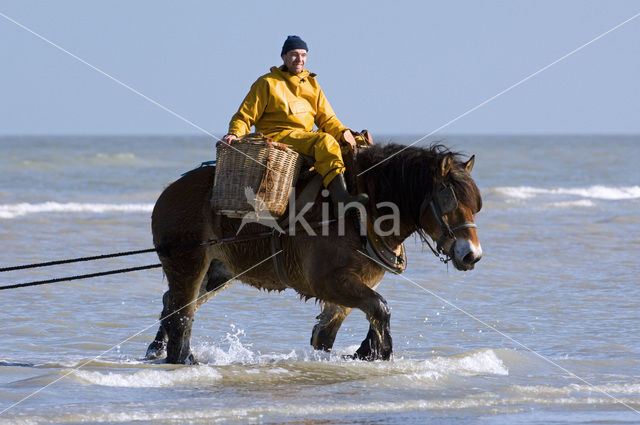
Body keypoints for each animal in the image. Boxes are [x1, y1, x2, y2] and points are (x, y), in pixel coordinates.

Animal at [146, 144, 480, 362]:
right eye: (449, 201)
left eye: (475, 205)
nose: (472, 255)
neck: (359, 213)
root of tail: (169, 190)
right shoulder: (328, 282)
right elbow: (381, 308)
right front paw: (381, 353)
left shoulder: (351, 286)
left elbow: (329, 334)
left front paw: (364, 352)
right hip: (188, 264)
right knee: (181, 316)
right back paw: (179, 357)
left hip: (217, 272)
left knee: (173, 306)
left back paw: (161, 349)